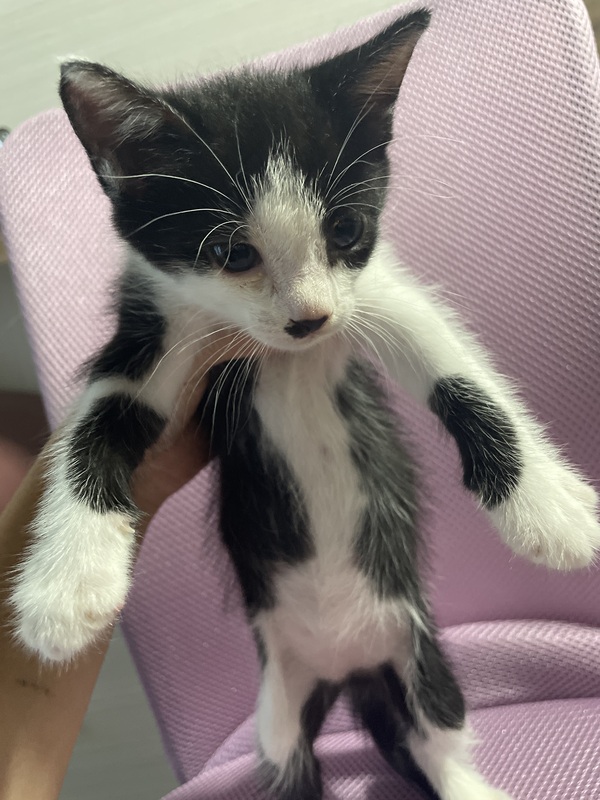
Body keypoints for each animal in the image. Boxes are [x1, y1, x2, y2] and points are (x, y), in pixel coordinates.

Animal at [9, 9, 600, 800]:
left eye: (344, 230)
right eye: (230, 252)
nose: (308, 320)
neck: (286, 359)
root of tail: (347, 671)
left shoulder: (376, 294)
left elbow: (457, 369)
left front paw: (550, 511)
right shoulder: (155, 347)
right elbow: (92, 431)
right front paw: (68, 584)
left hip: (423, 659)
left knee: (436, 738)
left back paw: (467, 782)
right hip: (276, 713)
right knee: (294, 761)